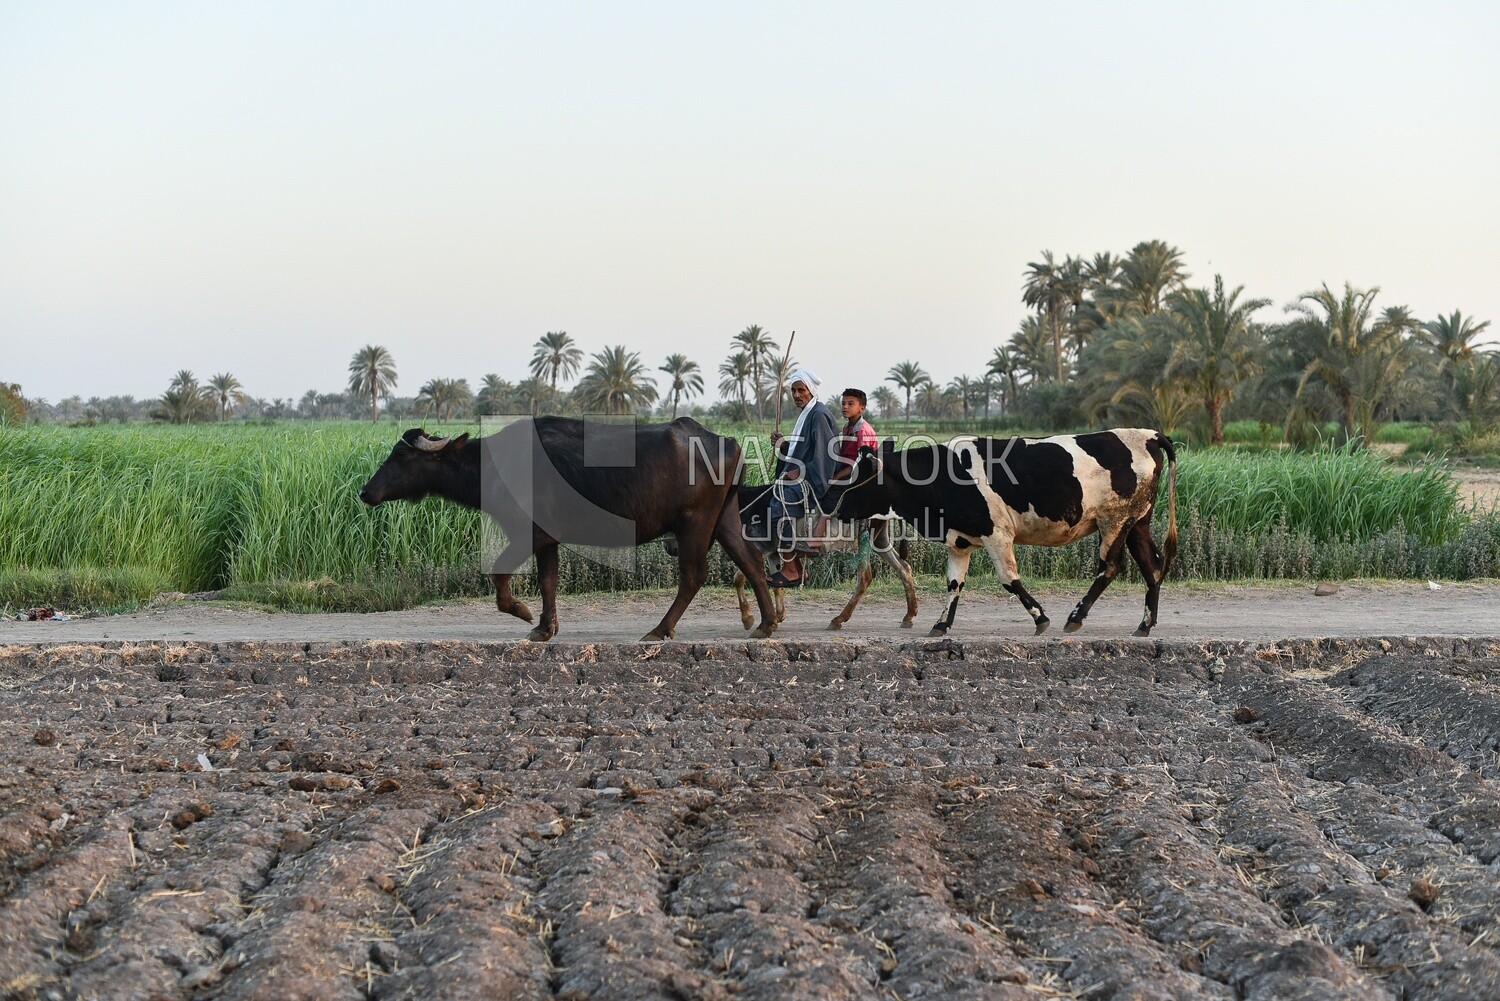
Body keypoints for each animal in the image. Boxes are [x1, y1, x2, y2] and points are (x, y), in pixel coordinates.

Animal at [354, 417, 774, 642]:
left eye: (401, 454)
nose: (365, 492)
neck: (496, 463)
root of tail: (728, 442)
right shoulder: (548, 540)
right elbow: (549, 582)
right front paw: (545, 627)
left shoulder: (529, 533)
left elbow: (500, 574)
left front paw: (522, 613)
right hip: (725, 519)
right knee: (752, 562)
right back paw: (765, 624)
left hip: (694, 524)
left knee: (694, 575)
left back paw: (659, 629)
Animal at [828, 429, 1176, 633]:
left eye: (858, 477)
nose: (835, 505)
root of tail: (1148, 435)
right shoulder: (958, 541)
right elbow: (954, 584)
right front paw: (941, 624)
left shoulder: (998, 535)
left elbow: (1010, 580)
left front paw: (1040, 617)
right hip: (1137, 523)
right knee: (1152, 567)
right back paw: (1145, 624)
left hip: (1114, 521)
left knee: (1111, 566)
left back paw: (1076, 617)